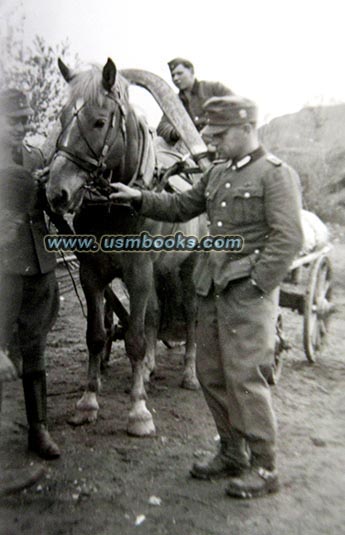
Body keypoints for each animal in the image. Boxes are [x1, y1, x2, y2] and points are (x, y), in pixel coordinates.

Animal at [45, 57, 203, 436]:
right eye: (62, 117)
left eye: (100, 121)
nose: (56, 192)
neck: (115, 206)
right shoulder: (92, 273)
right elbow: (97, 335)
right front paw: (87, 403)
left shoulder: (138, 272)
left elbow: (134, 339)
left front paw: (138, 411)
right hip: (160, 271)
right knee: (156, 314)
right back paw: (149, 368)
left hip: (187, 268)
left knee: (190, 316)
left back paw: (189, 374)